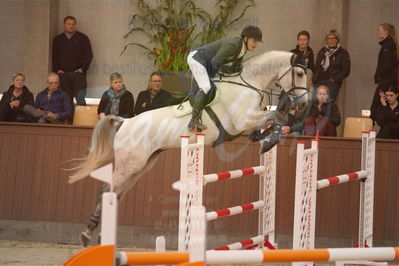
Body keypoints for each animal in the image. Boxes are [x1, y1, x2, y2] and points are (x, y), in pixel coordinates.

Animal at [69, 50, 310, 245]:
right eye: (299, 73)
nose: (304, 104)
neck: (248, 84)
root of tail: (125, 122)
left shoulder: (250, 122)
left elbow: (275, 118)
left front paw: (267, 138)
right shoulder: (245, 120)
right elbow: (276, 116)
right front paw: (270, 140)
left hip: (142, 166)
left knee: (116, 193)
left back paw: (102, 236)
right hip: (129, 165)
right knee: (106, 190)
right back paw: (87, 234)